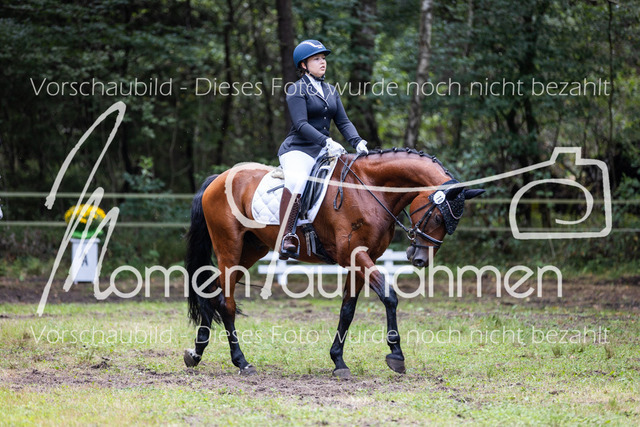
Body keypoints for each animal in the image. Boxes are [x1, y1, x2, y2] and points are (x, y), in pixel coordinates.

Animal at [183, 148, 484, 378]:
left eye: (451, 224)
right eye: (438, 217)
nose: (420, 259)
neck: (369, 188)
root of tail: (218, 178)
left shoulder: (362, 259)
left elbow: (347, 310)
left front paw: (338, 361)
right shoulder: (355, 254)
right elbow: (388, 295)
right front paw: (396, 355)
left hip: (251, 250)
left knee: (212, 294)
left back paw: (196, 353)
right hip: (229, 248)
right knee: (226, 302)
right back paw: (241, 361)